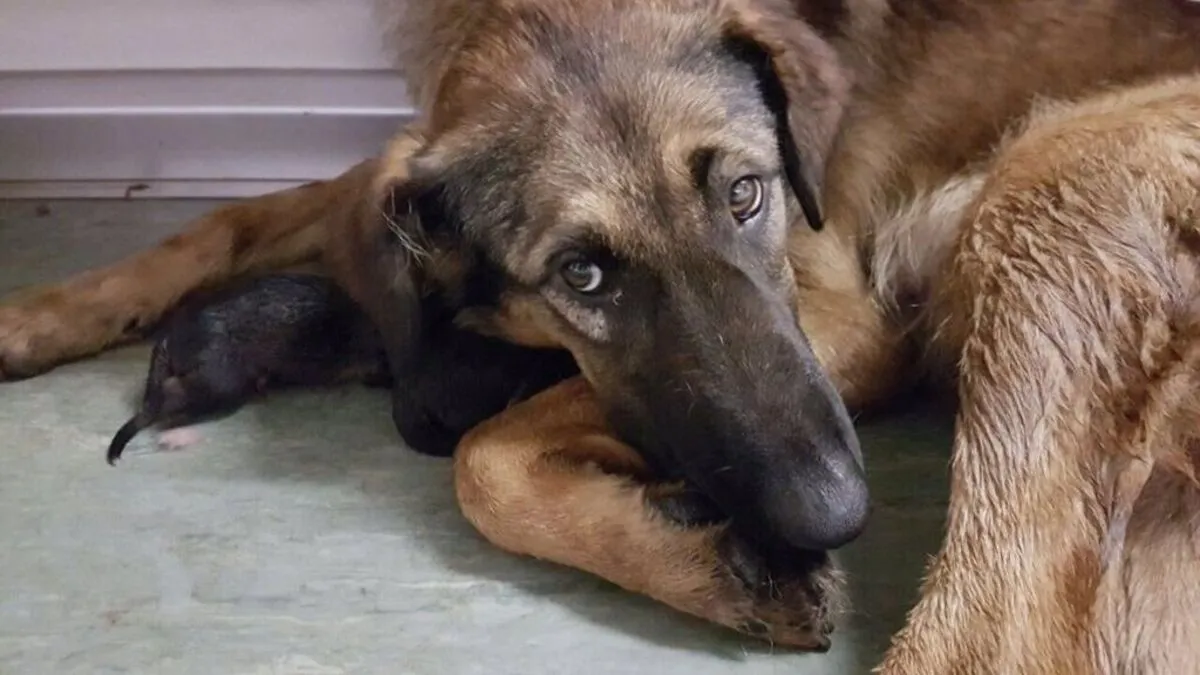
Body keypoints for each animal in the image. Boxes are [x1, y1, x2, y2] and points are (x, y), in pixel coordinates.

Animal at [4, 0, 1200, 670]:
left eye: (747, 195)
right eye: (582, 274)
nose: (835, 514)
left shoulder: (846, 320)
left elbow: (486, 458)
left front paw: (708, 562)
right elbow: (236, 215)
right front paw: (41, 313)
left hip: (1043, 184)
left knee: (996, 638)